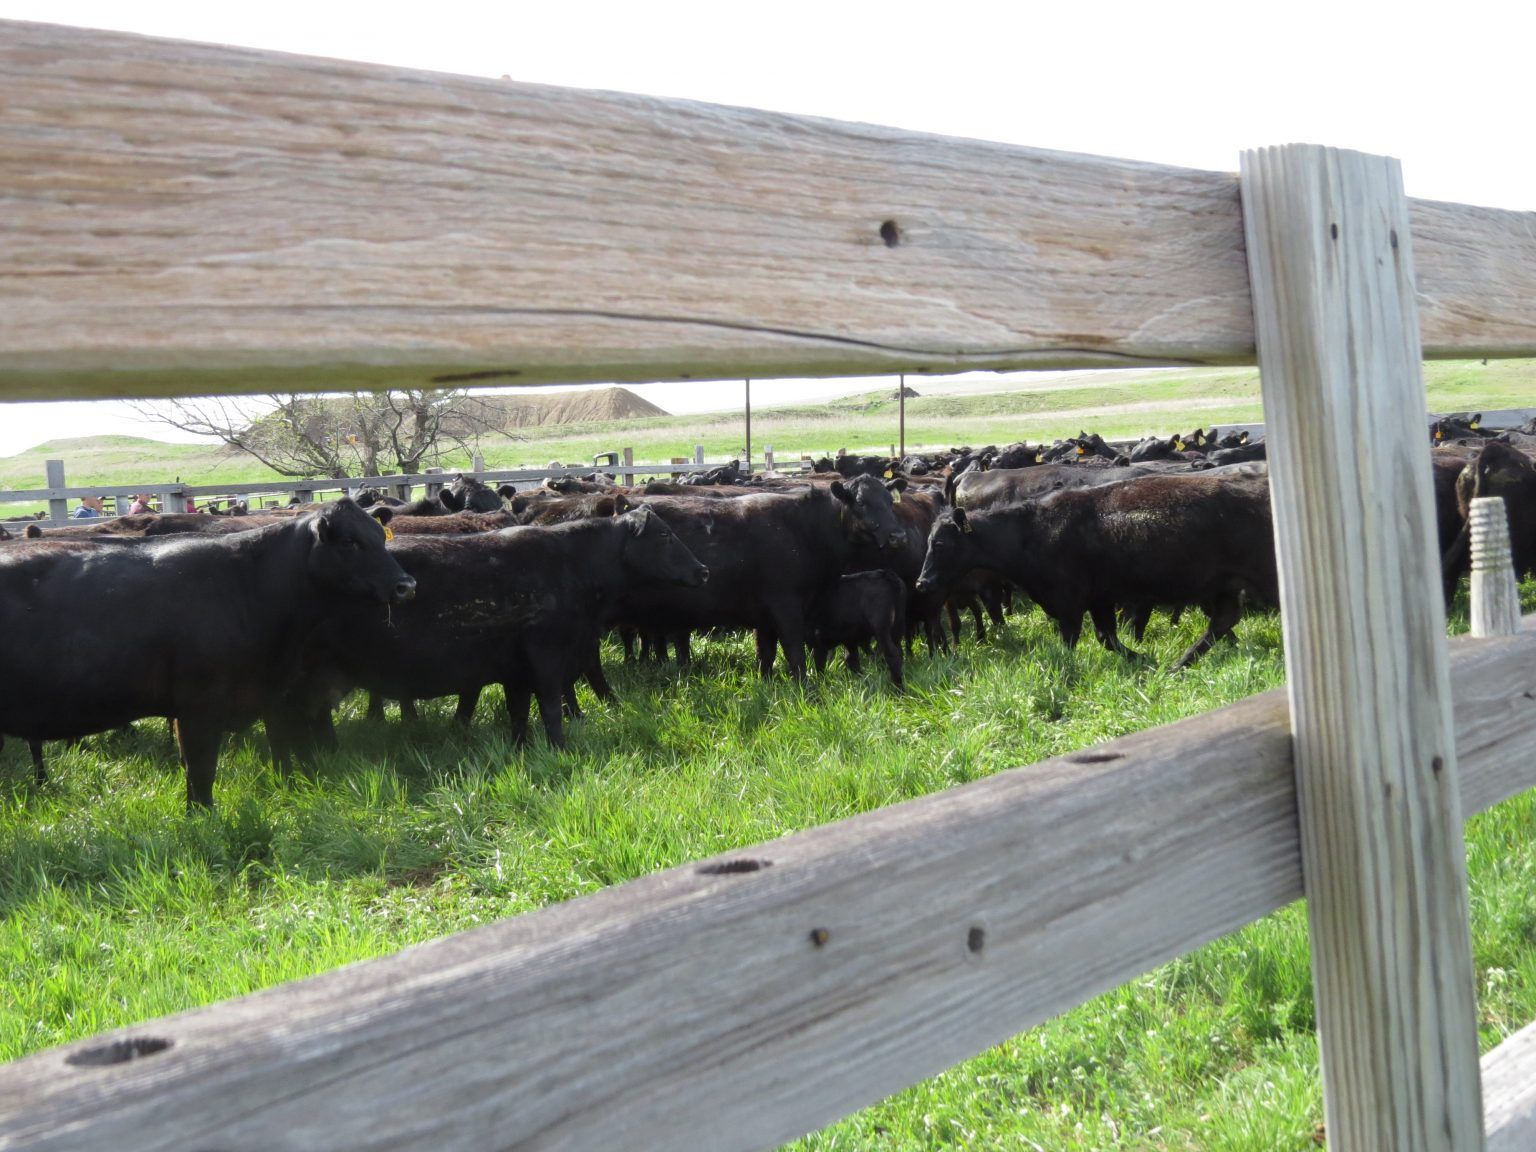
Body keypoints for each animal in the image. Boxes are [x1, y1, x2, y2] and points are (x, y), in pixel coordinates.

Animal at [0, 499, 415, 809]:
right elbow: (201, 771)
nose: (406, 585)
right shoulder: (199, 704)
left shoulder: (270, 693)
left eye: (380, 538)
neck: (249, 585)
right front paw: (202, 822)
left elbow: (280, 750)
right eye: (350, 543)